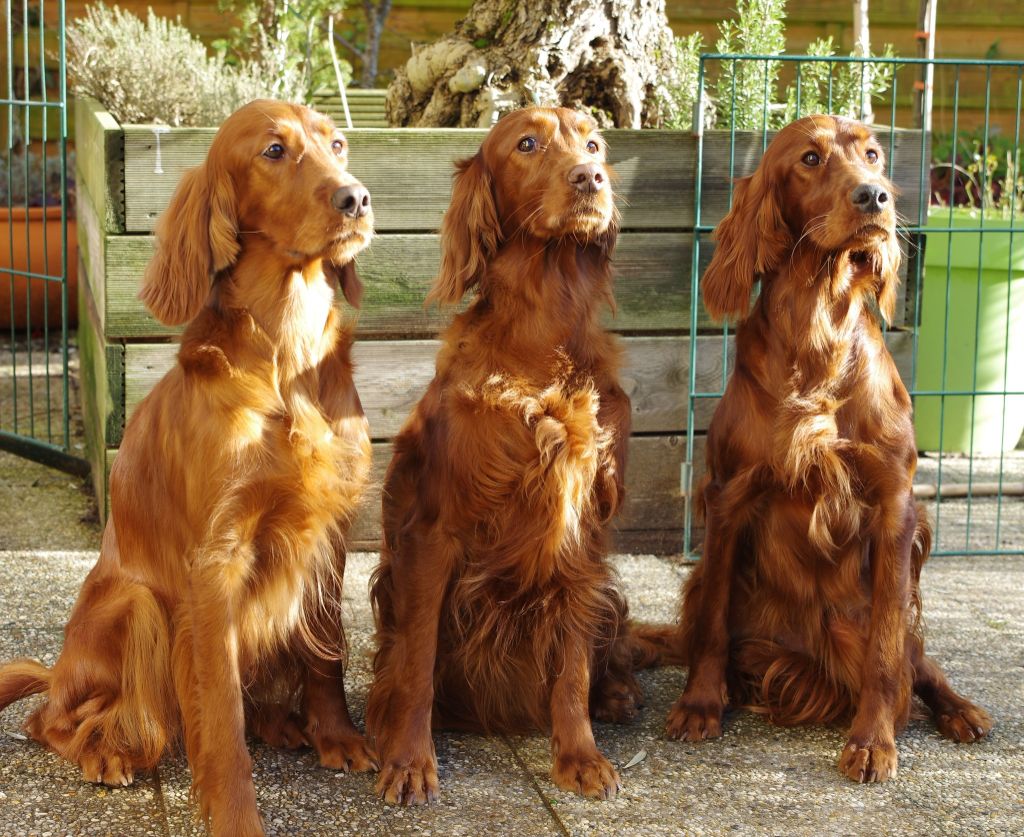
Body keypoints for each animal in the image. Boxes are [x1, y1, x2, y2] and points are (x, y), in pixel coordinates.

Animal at [0, 101, 376, 831]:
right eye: (273, 150)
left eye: (339, 142)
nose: (357, 198)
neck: (285, 357)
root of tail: (60, 668)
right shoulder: (216, 562)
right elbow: (221, 711)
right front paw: (233, 811)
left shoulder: (329, 530)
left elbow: (329, 647)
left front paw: (337, 736)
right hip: (138, 608)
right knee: (53, 719)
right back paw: (105, 753)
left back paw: (281, 722)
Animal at [368, 106, 638, 803]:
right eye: (527, 143)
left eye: (594, 143)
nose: (591, 177)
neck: (541, 339)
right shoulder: (433, 534)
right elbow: (416, 662)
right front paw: (408, 760)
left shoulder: (582, 534)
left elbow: (572, 666)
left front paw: (579, 755)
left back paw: (618, 694)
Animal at [647, 114, 991, 778]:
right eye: (809, 158)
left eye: (874, 154)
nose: (875, 197)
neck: (818, 331)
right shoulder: (730, 496)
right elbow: (712, 625)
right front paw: (700, 704)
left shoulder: (894, 507)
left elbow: (887, 653)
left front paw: (873, 740)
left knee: (918, 660)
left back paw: (961, 710)